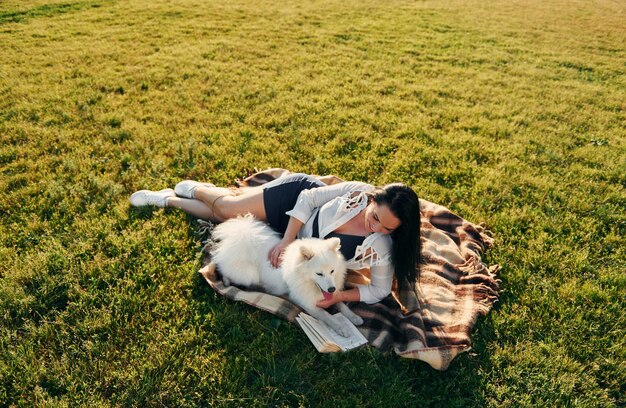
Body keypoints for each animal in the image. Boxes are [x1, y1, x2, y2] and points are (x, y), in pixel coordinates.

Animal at [210, 215, 364, 336]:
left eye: (332, 271)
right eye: (319, 273)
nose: (332, 289)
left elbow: (341, 304)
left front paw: (354, 317)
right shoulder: (307, 302)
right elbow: (327, 316)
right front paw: (342, 328)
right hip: (247, 274)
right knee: (221, 267)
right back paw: (227, 280)